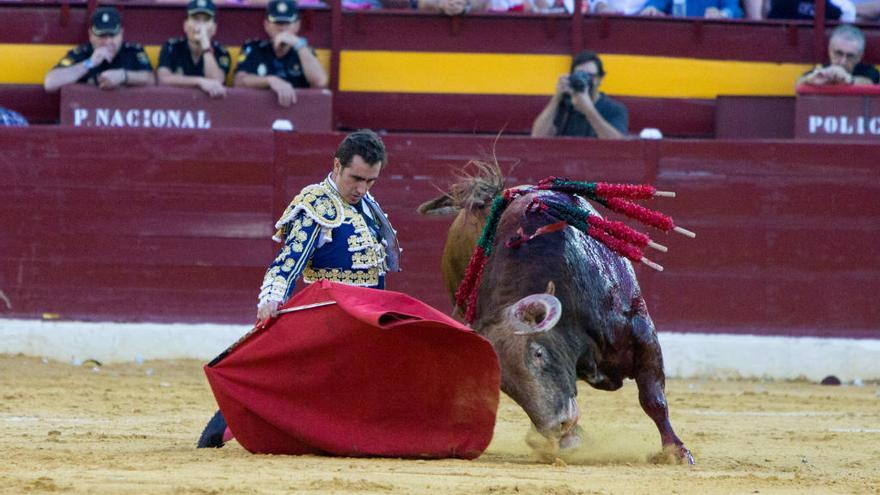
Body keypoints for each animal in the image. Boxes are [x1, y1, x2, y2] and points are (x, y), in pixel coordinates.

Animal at [420, 164, 696, 464]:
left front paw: (677, 452)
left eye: (539, 354)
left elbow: (653, 400)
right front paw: (568, 440)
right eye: (504, 385)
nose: (558, 426)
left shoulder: (642, 333)